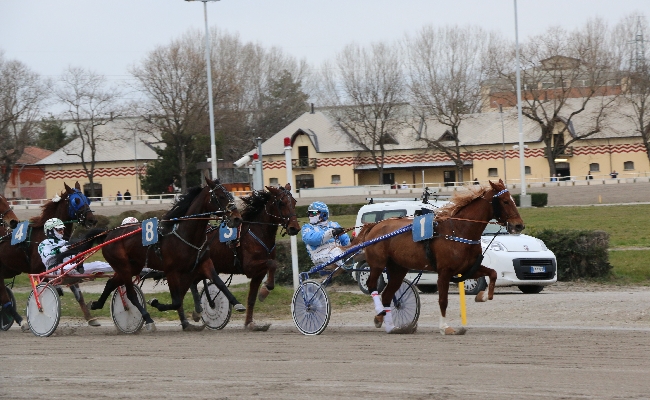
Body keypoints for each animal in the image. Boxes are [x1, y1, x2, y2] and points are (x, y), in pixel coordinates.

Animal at [0, 184, 97, 328]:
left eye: (87, 199)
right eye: (76, 200)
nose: (92, 220)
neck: (47, 235)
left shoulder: (61, 266)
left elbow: (77, 291)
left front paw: (90, 317)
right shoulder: (38, 270)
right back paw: (20, 320)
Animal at [92, 178, 242, 332]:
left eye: (230, 195)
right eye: (221, 196)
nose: (237, 218)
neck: (186, 235)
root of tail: (108, 235)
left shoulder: (204, 262)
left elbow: (219, 283)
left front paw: (236, 303)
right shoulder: (171, 271)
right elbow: (176, 301)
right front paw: (155, 303)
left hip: (132, 266)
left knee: (111, 283)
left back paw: (96, 304)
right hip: (123, 266)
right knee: (131, 294)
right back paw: (148, 319)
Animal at [186, 183, 300, 330]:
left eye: (294, 202)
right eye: (281, 203)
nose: (294, 228)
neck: (258, 232)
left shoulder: (258, 273)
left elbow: (252, 298)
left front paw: (250, 323)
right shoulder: (249, 267)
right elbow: (272, 263)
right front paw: (266, 289)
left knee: (193, 283)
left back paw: (197, 312)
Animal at [352, 180, 524, 334]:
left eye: (513, 200)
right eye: (505, 201)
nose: (519, 225)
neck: (460, 230)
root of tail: (375, 225)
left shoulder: (468, 268)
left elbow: (493, 274)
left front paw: (482, 296)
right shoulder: (444, 271)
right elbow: (443, 300)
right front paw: (445, 327)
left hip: (397, 268)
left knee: (387, 295)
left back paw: (391, 326)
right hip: (378, 264)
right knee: (372, 284)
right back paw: (379, 314)